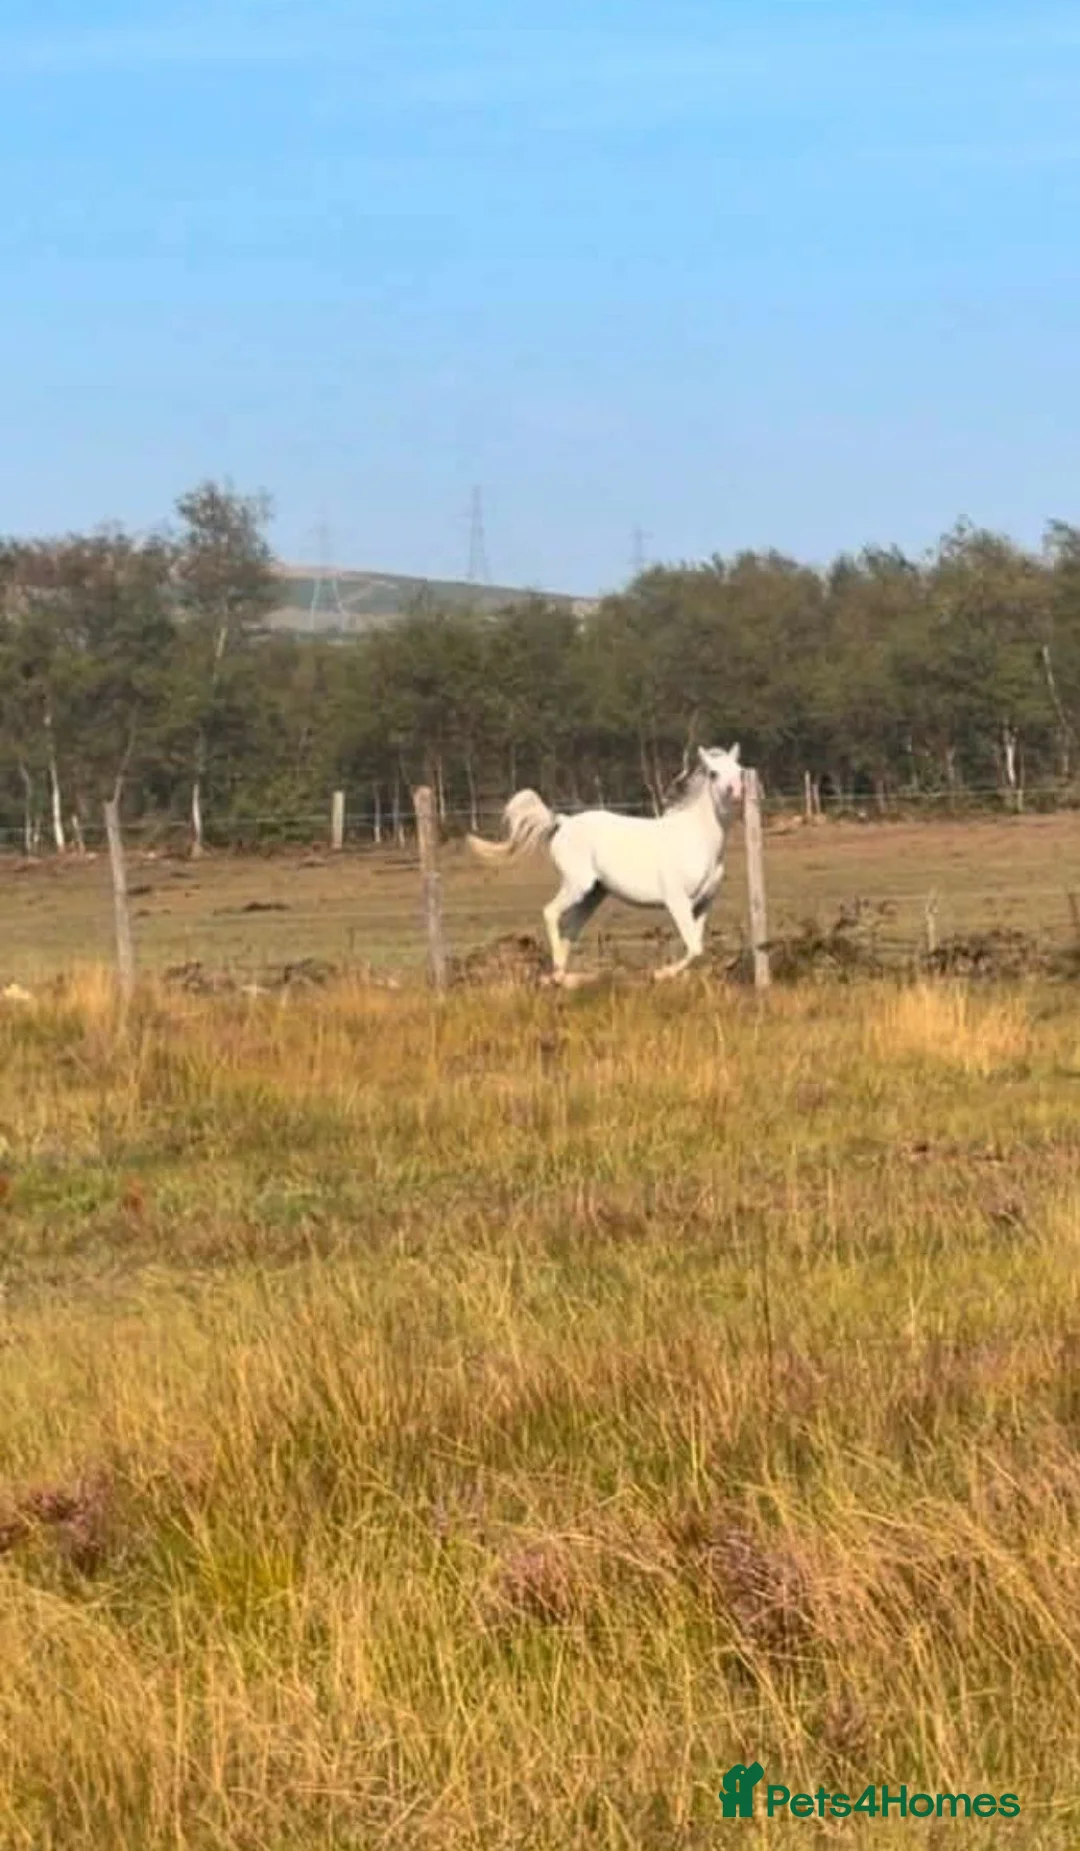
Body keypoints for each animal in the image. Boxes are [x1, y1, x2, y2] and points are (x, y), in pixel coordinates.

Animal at [467, 744, 745, 985]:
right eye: (713, 773)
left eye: (740, 770)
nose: (736, 791)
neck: (696, 838)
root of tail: (563, 821)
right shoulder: (676, 900)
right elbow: (694, 947)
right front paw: (659, 974)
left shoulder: (703, 903)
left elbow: (696, 947)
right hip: (576, 885)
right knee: (551, 912)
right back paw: (556, 972)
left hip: (593, 895)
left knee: (570, 928)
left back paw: (560, 977)